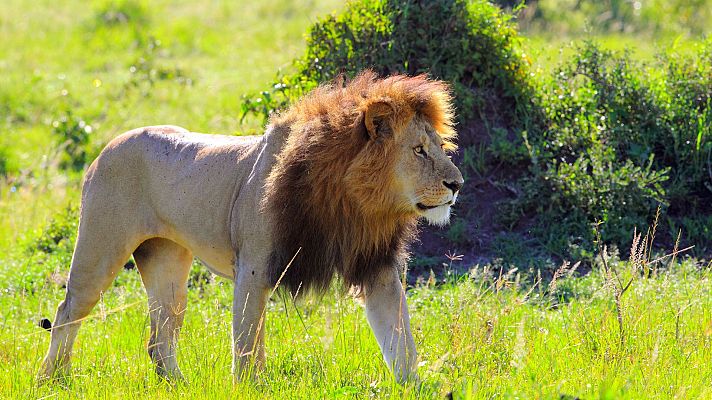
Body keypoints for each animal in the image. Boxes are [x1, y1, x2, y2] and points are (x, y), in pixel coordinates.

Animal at [39, 70, 464, 384]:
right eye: (418, 150)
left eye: (441, 147)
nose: (457, 184)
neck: (351, 201)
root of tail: (107, 146)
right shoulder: (254, 268)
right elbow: (247, 343)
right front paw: (249, 387)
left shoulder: (376, 269)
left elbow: (401, 340)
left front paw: (416, 386)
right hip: (99, 250)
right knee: (67, 311)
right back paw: (52, 380)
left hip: (167, 263)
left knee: (160, 336)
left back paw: (178, 384)